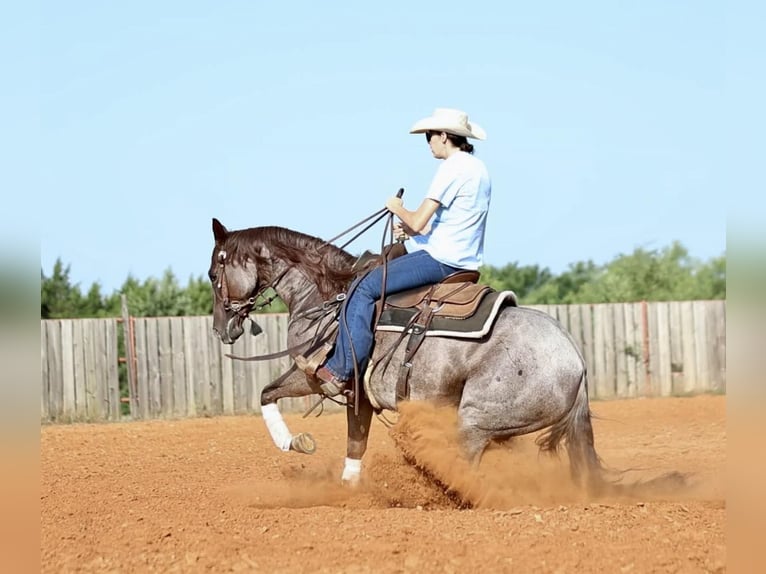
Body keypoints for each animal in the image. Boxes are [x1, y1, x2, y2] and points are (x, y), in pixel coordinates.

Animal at [207, 218, 608, 492]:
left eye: (213, 273)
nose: (221, 329)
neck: (328, 295)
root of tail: (575, 360)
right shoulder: (356, 395)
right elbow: (349, 440)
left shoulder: (322, 378)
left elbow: (274, 397)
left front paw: (296, 445)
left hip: (475, 421)